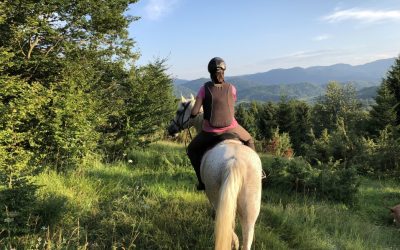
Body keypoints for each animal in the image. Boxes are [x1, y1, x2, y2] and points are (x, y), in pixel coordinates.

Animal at [166, 94, 262, 249]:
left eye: (179, 111)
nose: (170, 129)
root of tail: (235, 162)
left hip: (217, 197)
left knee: (228, 228)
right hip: (251, 208)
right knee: (246, 235)